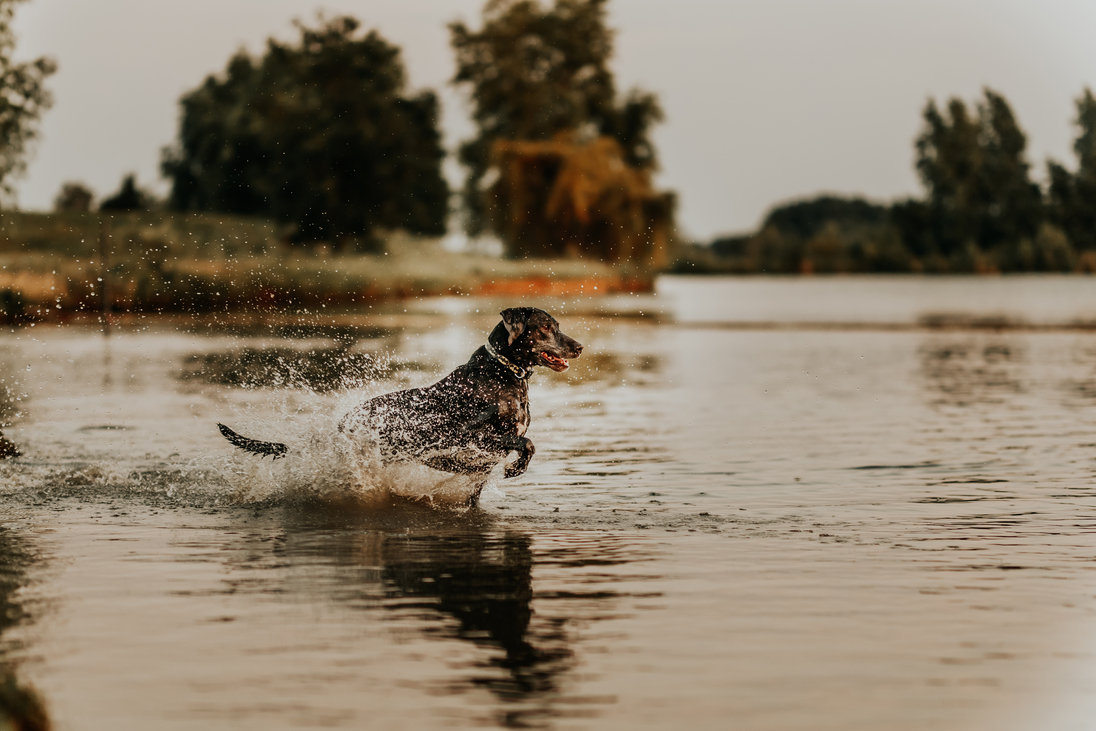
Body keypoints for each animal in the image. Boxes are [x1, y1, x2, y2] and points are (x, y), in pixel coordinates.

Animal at [213, 306, 583, 480]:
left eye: (558, 326)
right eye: (546, 327)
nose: (579, 347)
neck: (503, 371)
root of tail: (340, 427)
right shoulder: (471, 436)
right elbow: (527, 443)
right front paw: (515, 468)